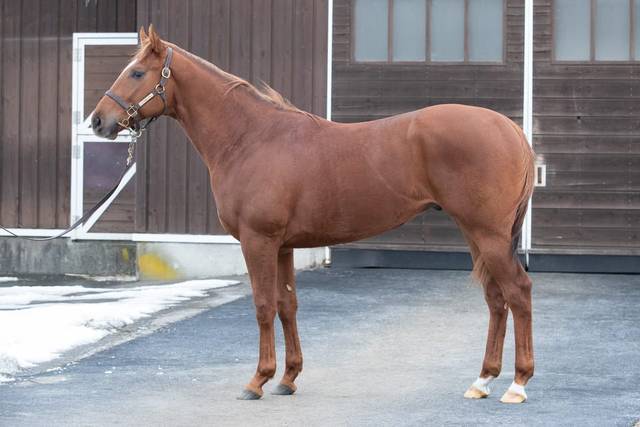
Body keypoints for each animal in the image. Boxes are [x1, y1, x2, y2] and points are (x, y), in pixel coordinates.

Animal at [92, 25, 535, 403]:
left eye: (136, 72)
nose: (98, 121)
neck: (250, 138)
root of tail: (510, 129)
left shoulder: (258, 241)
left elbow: (263, 306)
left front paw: (257, 381)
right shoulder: (284, 246)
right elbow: (287, 304)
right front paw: (287, 378)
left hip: (488, 235)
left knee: (518, 292)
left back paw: (517, 384)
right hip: (475, 234)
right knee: (496, 298)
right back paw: (482, 381)